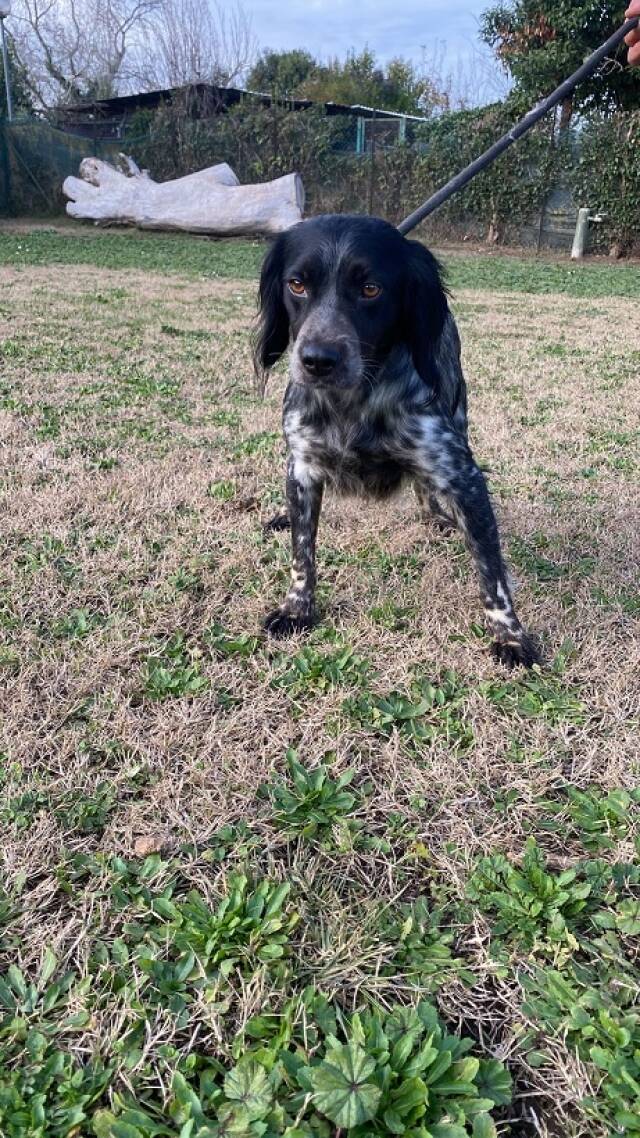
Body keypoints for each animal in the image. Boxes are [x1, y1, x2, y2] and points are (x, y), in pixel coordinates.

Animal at [254, 214, 538, 669]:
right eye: (296, 284)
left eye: (371, 289)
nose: (317, 361)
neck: (353, 402)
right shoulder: (302, 467)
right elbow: (302, 553)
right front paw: (296, 609)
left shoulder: (462, 475)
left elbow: (491, 572)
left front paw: (509, 635)